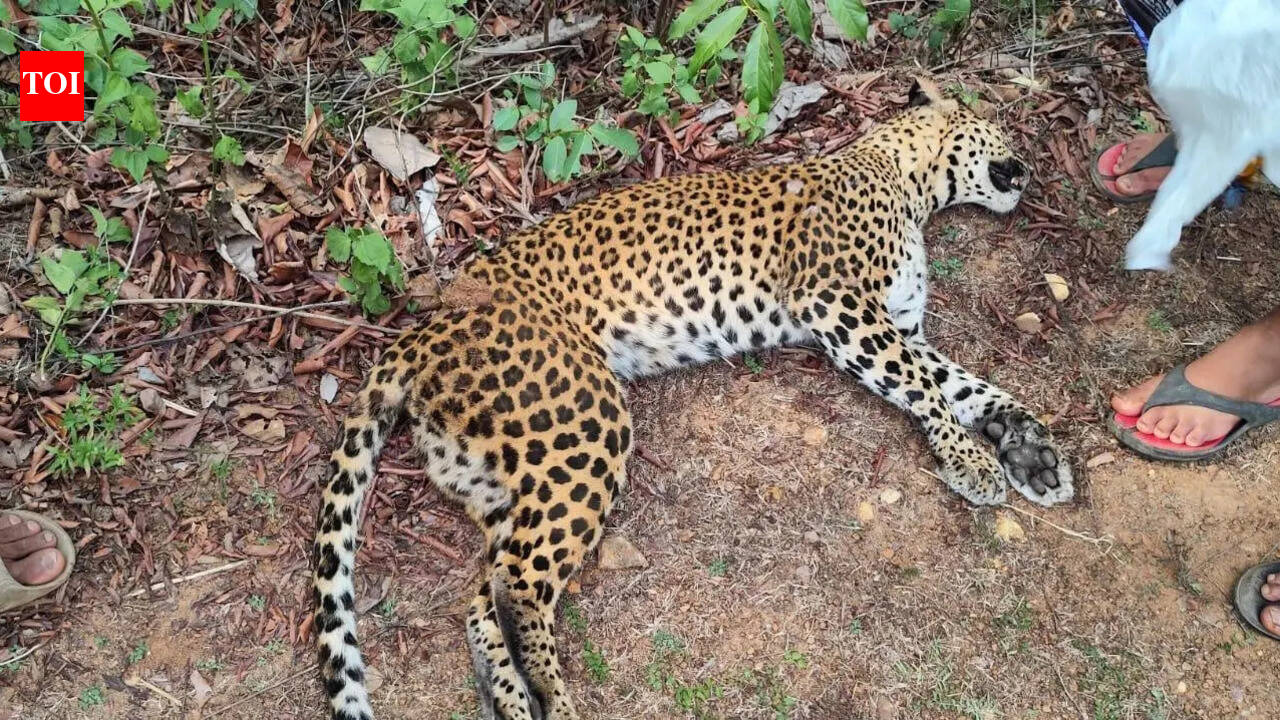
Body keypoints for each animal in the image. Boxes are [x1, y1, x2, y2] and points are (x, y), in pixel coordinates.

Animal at [311, 77, 1074, 720]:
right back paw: (554, 699)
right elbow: (924, 387)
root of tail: (422, 330)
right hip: (584, 425)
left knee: (484, 590)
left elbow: (965, 384)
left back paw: (512, 697)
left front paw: (1030, 452)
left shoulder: (897, 325)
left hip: (506, 472)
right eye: (1004, 127)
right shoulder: (841, 307)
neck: (907, 181)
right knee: (521, 582)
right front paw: (973, 464)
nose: (1031, 171)